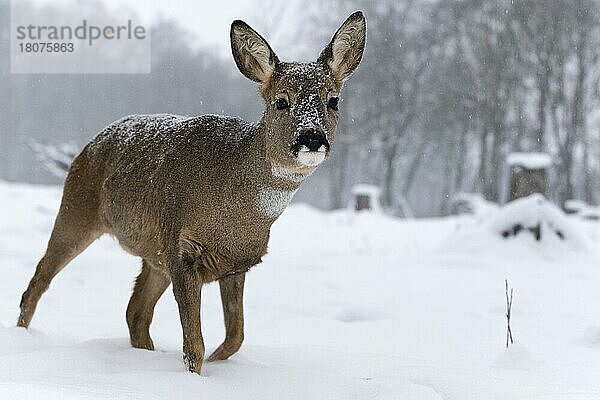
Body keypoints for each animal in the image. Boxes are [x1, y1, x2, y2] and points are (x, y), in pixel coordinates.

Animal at [17, 12, 366, 376]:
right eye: (281, 101)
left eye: (333, 100)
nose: (312, 138)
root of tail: (87, 146)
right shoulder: (182, 248)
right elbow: (194, 346)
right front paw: (197, 375)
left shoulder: (236, 264)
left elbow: (236, 336)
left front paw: (217, 363)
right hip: (77, 210)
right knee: (38, 283)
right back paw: (24, 336)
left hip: (153, 254)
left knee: (135, 312)